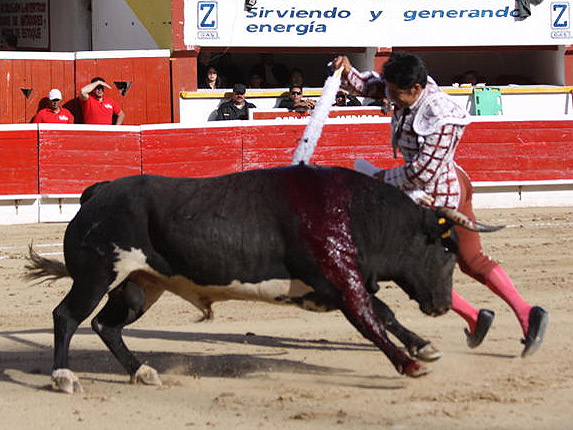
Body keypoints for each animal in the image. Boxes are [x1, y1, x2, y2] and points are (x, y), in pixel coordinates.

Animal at [24, 165, 494, 394]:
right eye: (446, 251)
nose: (441, 304)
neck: (354, 212)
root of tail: (97, 193)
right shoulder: (341, 282)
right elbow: (370, 320)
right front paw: (411, 364)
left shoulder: (338, 283)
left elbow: (383, 312)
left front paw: (424, 347)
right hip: (96, 276)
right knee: (68, 317)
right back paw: (64, 378)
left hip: (141, 286)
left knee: (107, 325)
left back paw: (143, 372)